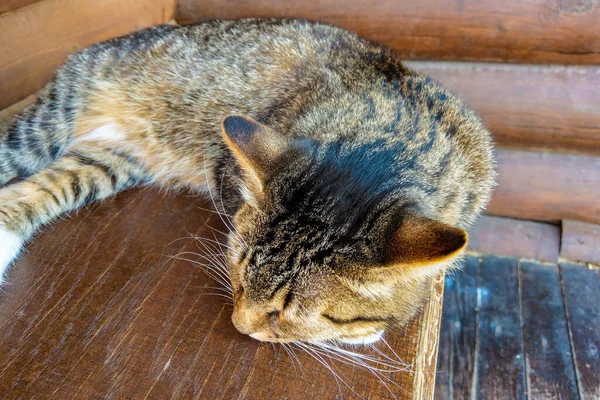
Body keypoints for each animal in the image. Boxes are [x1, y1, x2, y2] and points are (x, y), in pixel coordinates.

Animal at [0, 18, 494, 344]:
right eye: (237, 269)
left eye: (285, 311)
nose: (239, 325)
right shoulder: (228, 169)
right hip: (47, 125)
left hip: (105, 161)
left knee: (40, 189)